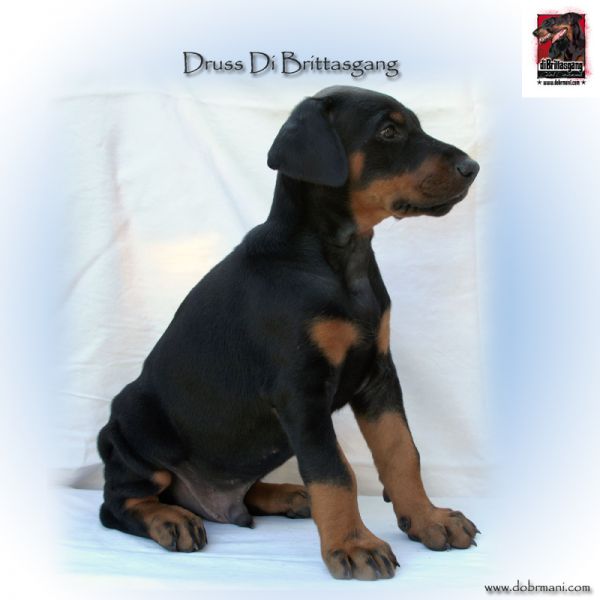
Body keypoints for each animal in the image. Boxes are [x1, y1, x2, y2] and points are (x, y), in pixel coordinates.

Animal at [97, 86, 480, 580]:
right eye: (388, 131)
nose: (472, 167)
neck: (341, 263)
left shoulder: (378, 375)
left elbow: (402, 451)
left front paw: (429, 519)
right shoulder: (300, 391)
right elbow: (334, 471)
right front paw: (353, 544)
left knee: (241, 492)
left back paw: (283, 496)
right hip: (133, 427)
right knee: (118, 503)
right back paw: (170, 519)